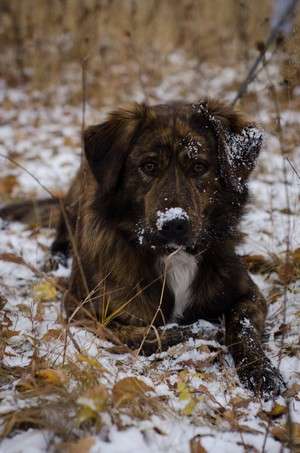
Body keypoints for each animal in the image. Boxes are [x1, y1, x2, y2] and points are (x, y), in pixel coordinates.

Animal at [48, 99, 282, 396]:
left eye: (198, 166)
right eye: (149, 166)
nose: (173, 224)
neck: (175, 256)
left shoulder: (249, 294)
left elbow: (243, 325)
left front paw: (261, 371)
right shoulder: (80, 309)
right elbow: (133, 334)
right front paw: (197, 331)